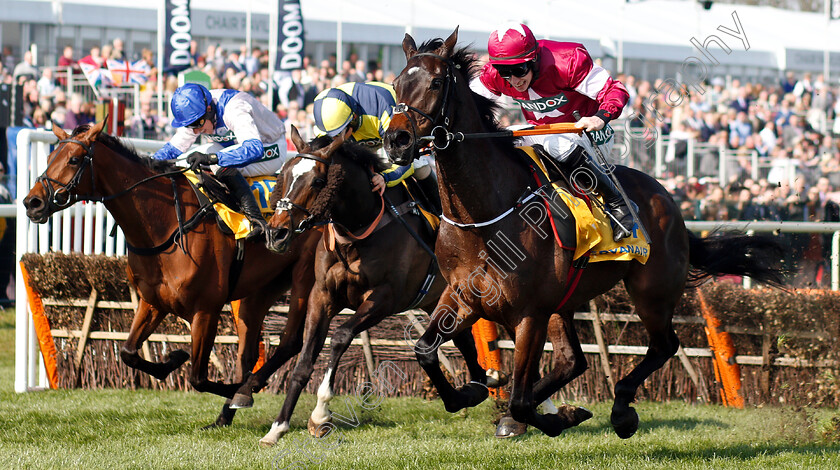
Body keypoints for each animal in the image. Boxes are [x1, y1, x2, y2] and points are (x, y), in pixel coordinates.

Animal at [23, 122, 320, 430]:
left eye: (74, 159)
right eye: (49, 158)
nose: (32, 202)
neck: (163, 224)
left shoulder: (206, 310)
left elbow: (197, 377)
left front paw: (237, 388)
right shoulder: (153, 302)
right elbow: (128, 352)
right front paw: (175, 358)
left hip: (303, 279)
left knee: (290, 343)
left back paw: (245, 390)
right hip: (260, 289)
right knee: (248, 353)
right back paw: (225, 415)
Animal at [249, 126, 492, 446]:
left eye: (318, 181)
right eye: (285, 175)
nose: (275, 234)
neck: (356, 232)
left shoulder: (385, 299)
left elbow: (340, 337)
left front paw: (320, 414)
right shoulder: (321, 296)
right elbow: (303, 363)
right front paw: (278, 427)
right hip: (439, 300)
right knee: (461, 338)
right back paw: (476, 388)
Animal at [382, 29, 788, 438]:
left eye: (436, 82)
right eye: (396, 83)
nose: (396, 140)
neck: (484, 221)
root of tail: (670, 201)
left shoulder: (529, 314)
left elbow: (520, 398)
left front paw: (549, 416)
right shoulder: (462, 297)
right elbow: (425, 350)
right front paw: (473, 393)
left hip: (651, 292)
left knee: (663, 346)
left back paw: (622, 410)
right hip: (566, 303)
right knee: (573, 361)